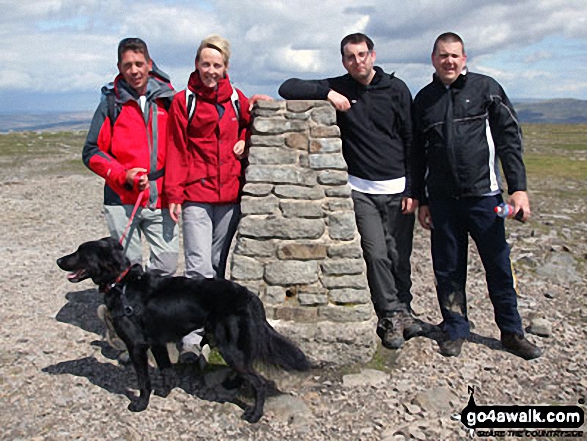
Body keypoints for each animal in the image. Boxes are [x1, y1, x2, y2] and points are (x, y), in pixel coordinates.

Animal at [56, 237, 310, 422]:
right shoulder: (156, 342)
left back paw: (254, 415)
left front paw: (141, 404)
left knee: (258, 383)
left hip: (229, 346)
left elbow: (143, 381)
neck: (121, 284)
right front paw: (165, 393)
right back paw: (232, 385)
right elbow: (166, 371)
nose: (59, 260)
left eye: (81, 253)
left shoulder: (136, 345)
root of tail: (250, 296)